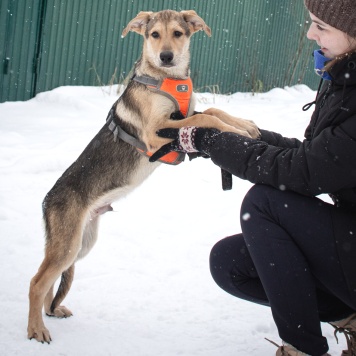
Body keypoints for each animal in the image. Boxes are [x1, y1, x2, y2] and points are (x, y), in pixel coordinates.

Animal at [27, 9, 258, 342]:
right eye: (154, 35)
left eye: (178, 34)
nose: (166, 56)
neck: (168, 80)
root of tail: (47, 201)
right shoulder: (155, 132)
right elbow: (207, 119)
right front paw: (236, 131)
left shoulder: (181, 118)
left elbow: (213, 111)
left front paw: (245, 126)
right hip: (68, 244)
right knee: (37, 282)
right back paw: (36, 329)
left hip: (80, 244)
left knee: (48, 278)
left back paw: (51, 311)